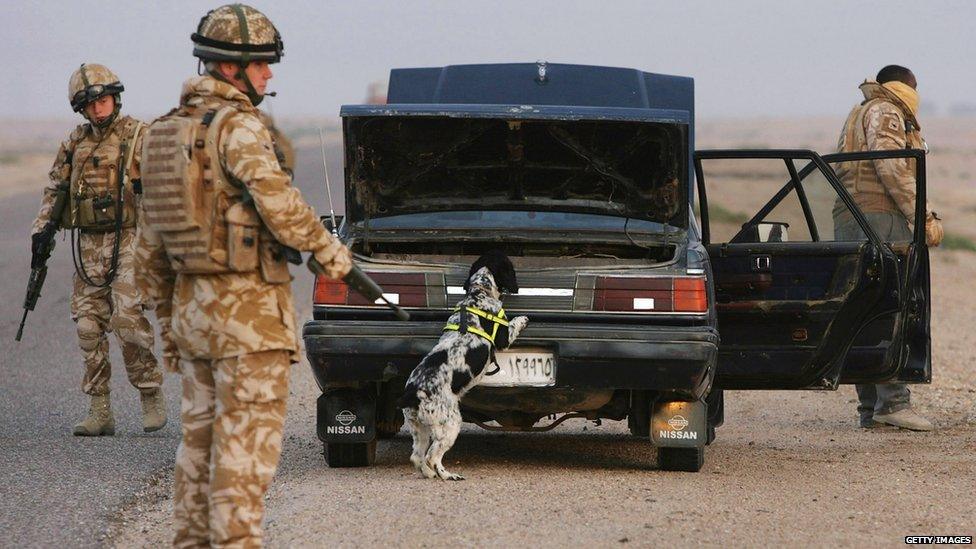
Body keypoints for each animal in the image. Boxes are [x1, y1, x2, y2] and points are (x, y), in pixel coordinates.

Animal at [396, 250, 528, 478]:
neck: (478, 294)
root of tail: (413, 393)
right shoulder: (504, 338)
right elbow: (514, 324)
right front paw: (524, 318)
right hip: (450, 424)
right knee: (432, 456)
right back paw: (448, 475)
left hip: (419, 428)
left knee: (417, 456)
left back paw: (430, 474)